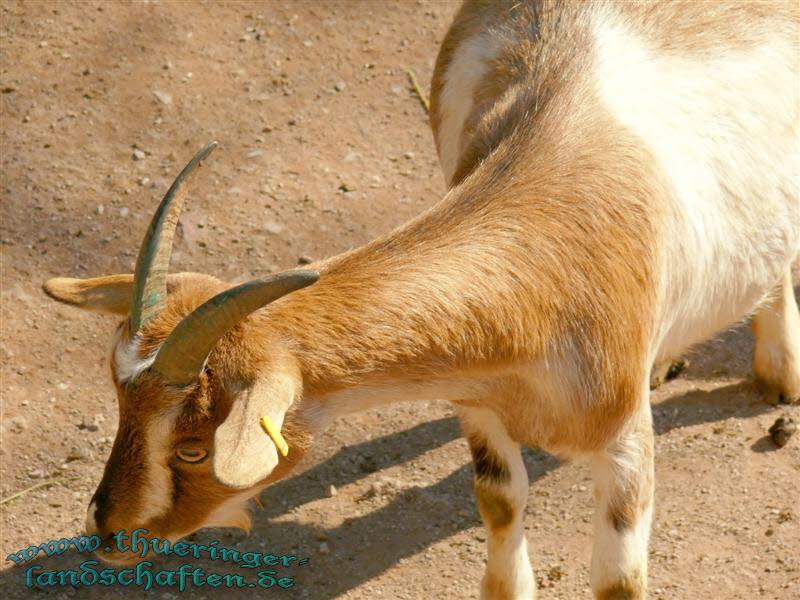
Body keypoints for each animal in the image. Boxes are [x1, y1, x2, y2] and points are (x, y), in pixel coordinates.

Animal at [43, 0, 800, 596]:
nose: (107, 534)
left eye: (196, 449)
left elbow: (619, 581)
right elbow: (498, 502)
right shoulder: (476, 401)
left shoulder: (625, 447)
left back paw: (779, 375)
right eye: (121, 408)